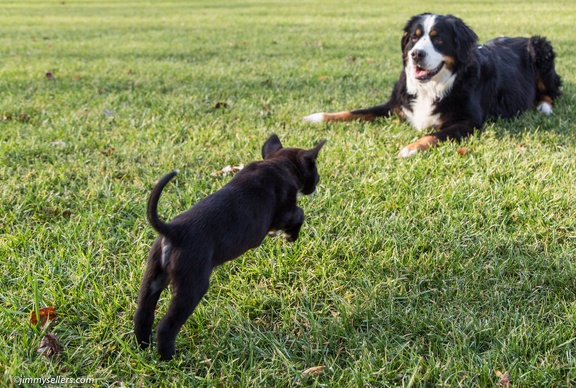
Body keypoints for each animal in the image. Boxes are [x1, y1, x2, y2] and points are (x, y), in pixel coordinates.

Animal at [132, 134, 326, 360]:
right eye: (314, 169)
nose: (317, 181)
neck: (279, 163)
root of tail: (173, 231)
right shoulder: (284, 213)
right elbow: (299, 214)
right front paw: (290, 236)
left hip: (154, 277)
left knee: (143, 314)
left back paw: (143, 346)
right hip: (192, 285)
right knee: (166, 326)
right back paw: (170, 358)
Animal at [304, 14, 560, 156]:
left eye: (438, 38)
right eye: (414, 37)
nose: (416, 54)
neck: (432, 87)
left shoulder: (468, 122)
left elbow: (433, 135)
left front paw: (410, 148)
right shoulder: (395, 106)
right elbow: (355, 111)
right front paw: (317, 117)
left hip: (541, 50)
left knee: (551, 93)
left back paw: (544, 107)